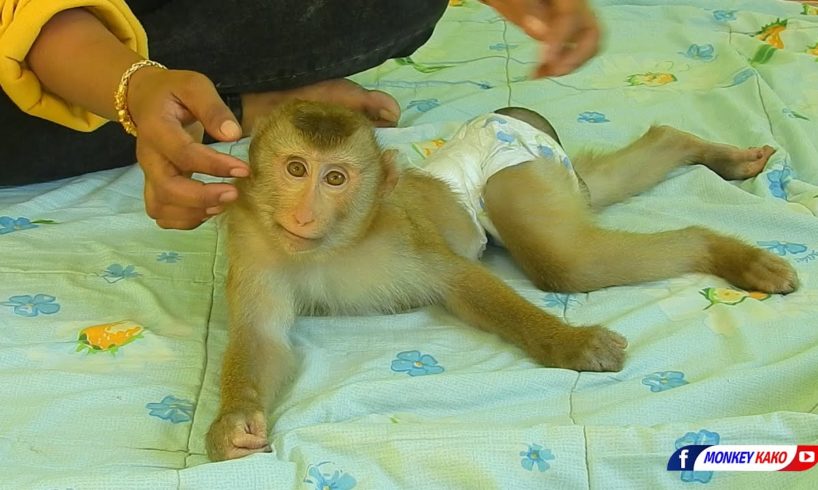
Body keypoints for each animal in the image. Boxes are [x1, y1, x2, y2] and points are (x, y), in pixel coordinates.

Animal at [206, 98, 796, 460]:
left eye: (335, 178)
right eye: (296, 169)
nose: (304, 215)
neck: (334, 245)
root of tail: (508, 119)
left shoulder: (400, 233)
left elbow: (459, 281)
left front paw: (570, 343)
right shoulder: (253, 243)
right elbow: (261, 338)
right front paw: (234, 425)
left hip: (520, 170)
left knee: (566, 261)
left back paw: (718, 248)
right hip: (549, 172)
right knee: (588, 202)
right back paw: (687, 147)